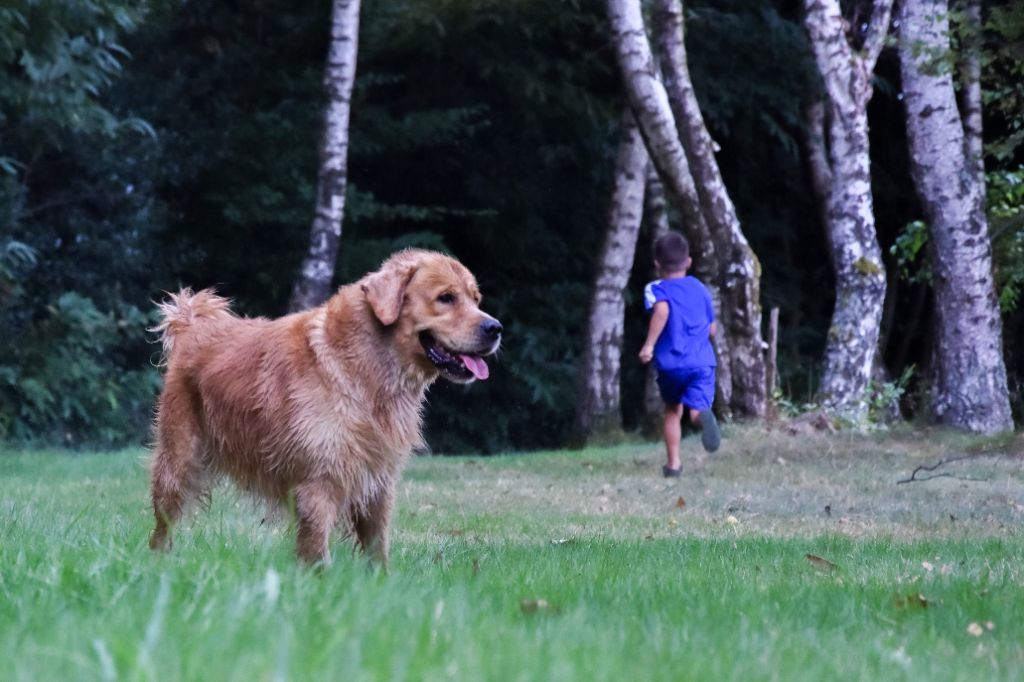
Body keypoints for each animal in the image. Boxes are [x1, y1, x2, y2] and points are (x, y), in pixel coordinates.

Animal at [149, 249, 501, 561]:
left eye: (476, 300)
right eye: (446, 298)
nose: (495, 328)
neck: (367, 370)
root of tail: (194, 325)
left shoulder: (378, 483)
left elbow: (378, 551)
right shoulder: (319, 482)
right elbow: (318, 552)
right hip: (177, 465)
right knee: (161, 528)